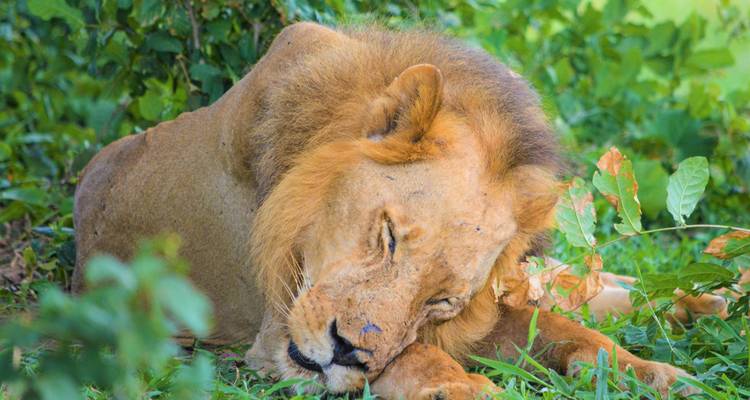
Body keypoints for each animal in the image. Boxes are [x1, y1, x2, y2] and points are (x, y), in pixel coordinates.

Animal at [73, 23, 701, 398]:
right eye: (389, 235)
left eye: (441, 300)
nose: (347, 352)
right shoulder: (275, 335)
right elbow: (412, 355)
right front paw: (466, 388)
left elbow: (565, 330)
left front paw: (654, 374)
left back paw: (698, 304)